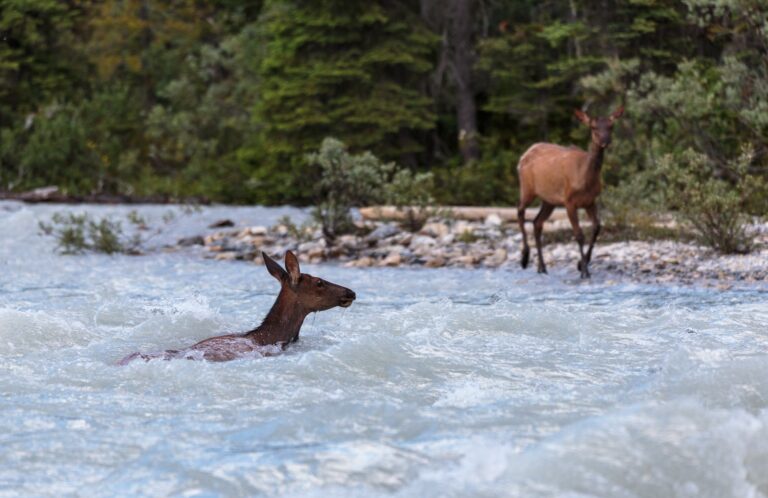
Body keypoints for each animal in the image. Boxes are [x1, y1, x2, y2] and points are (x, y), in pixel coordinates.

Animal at [517, 106, 624, 279]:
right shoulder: (569, 201)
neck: (585, 179)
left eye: (611, 126)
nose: (605, 141)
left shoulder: (590, 201)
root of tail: (524, 154)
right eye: (593, 127)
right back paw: (525, 258)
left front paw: (581, 264)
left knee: (537, 222)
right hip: (527, 188)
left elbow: (597, 227)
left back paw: (542, 267)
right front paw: (584, 271)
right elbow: (579, 234)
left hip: (549, 200)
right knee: (520, 212)